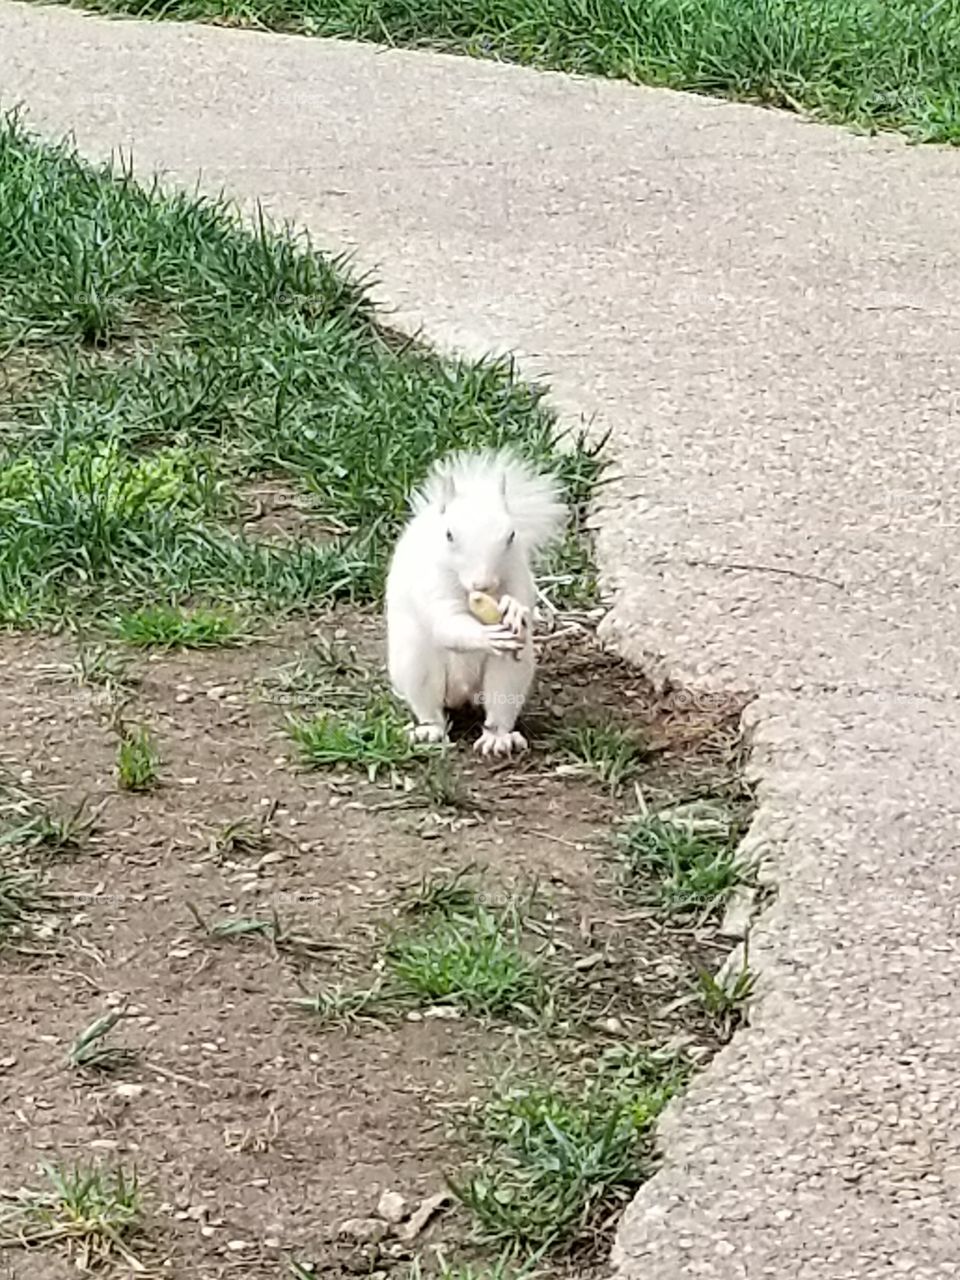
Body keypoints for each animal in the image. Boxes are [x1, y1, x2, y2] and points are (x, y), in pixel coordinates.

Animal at [386, 448, 568, 757]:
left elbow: (524, 600)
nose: (482, 584)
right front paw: (486, 635)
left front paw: (515, 610)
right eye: (449, 535)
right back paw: (429, 731)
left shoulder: (518, 573)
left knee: (499, 708)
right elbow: (446, 623)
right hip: (416, 665)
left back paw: (498, 738)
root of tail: (462, 693)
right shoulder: (431, 585)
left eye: (512, 535)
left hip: (509, 672)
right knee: (431, 710)